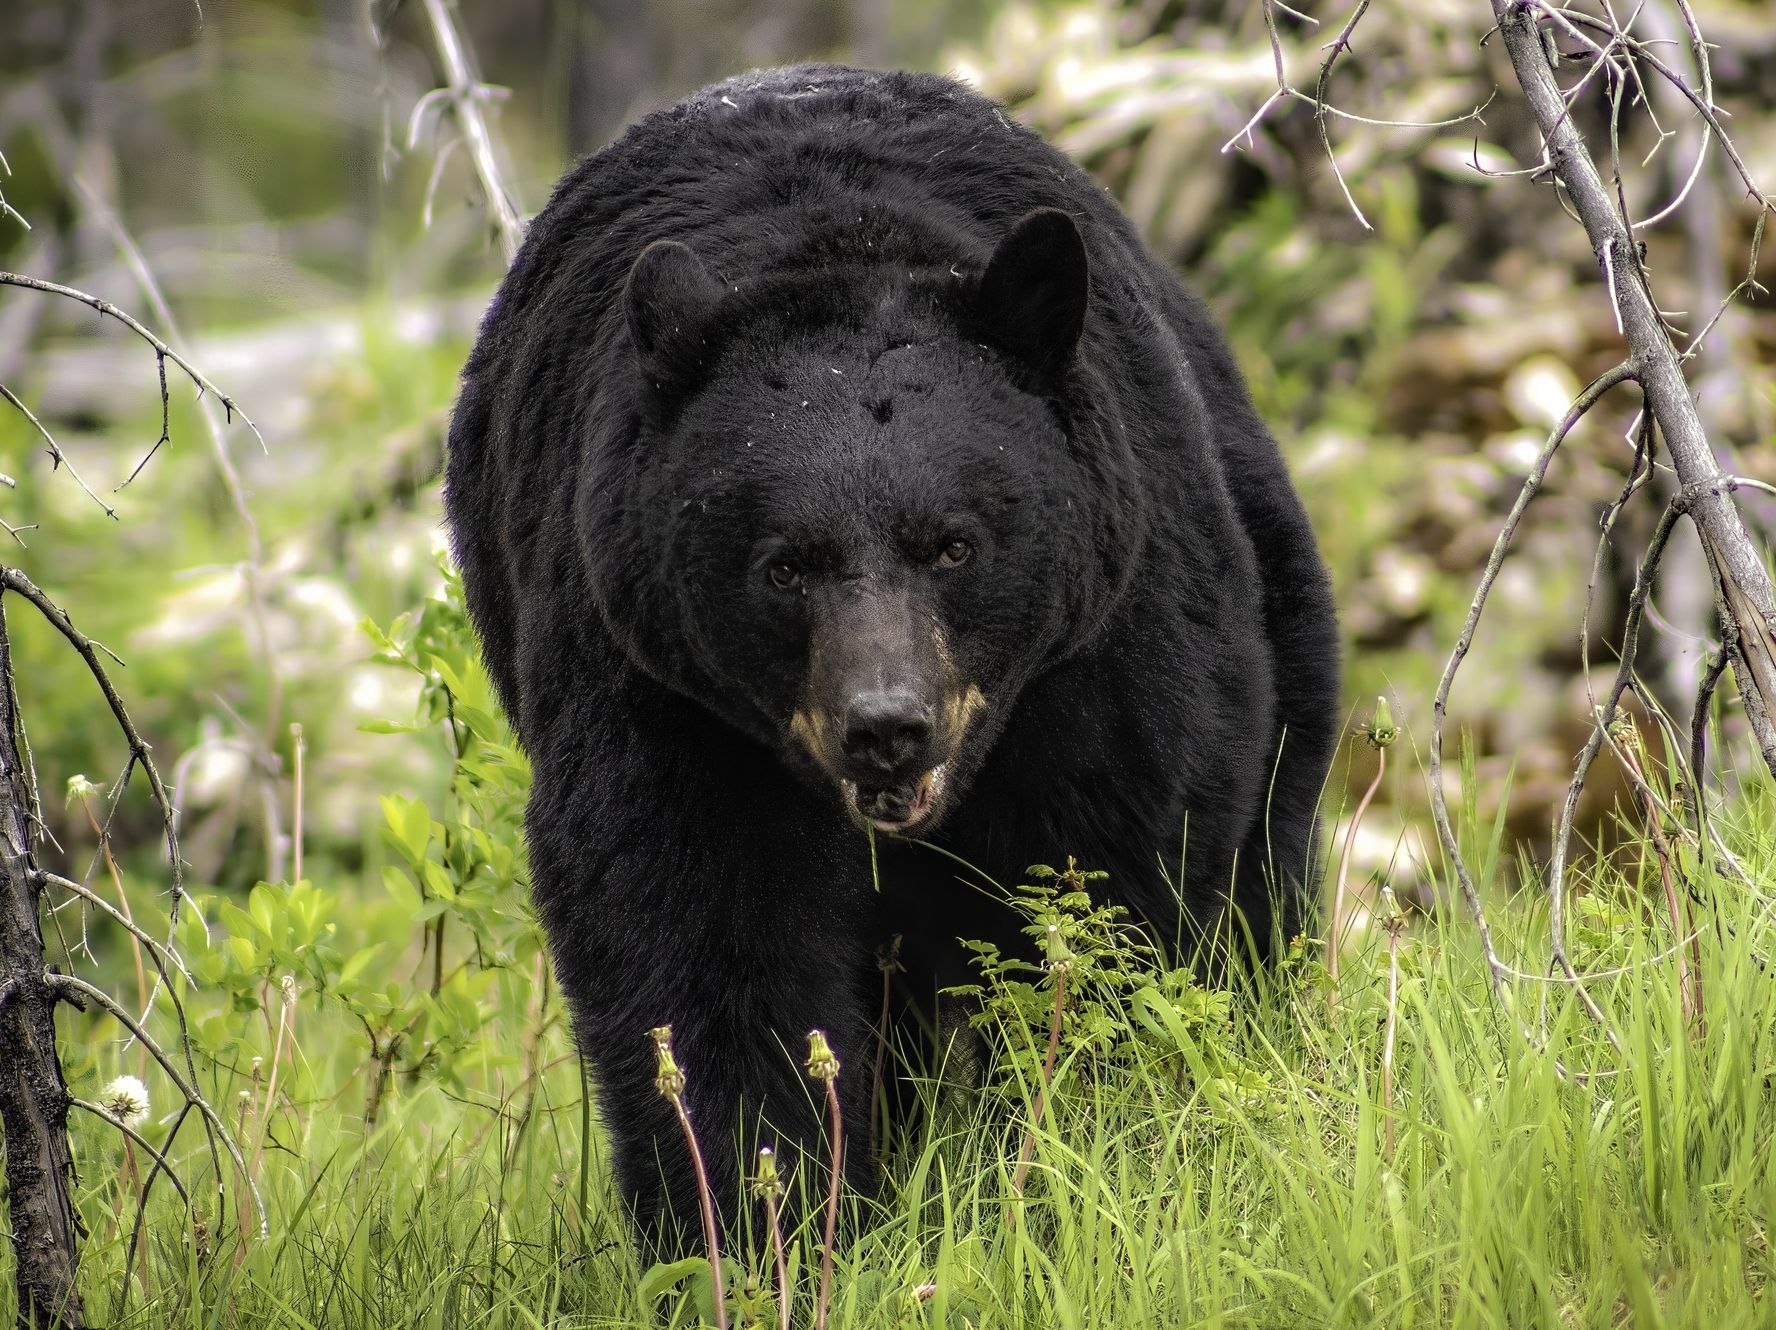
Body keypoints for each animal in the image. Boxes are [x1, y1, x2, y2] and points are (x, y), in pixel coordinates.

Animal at [444, 62, 1335, 1242]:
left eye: (954, 543)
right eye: (785, 566)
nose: (885, 727)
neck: (838, 247)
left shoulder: (1105, 642)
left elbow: (1107, 883)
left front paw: (1077, 1158)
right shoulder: (653, 679)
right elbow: (701, 934)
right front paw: (759, 1216)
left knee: (1271, 851)